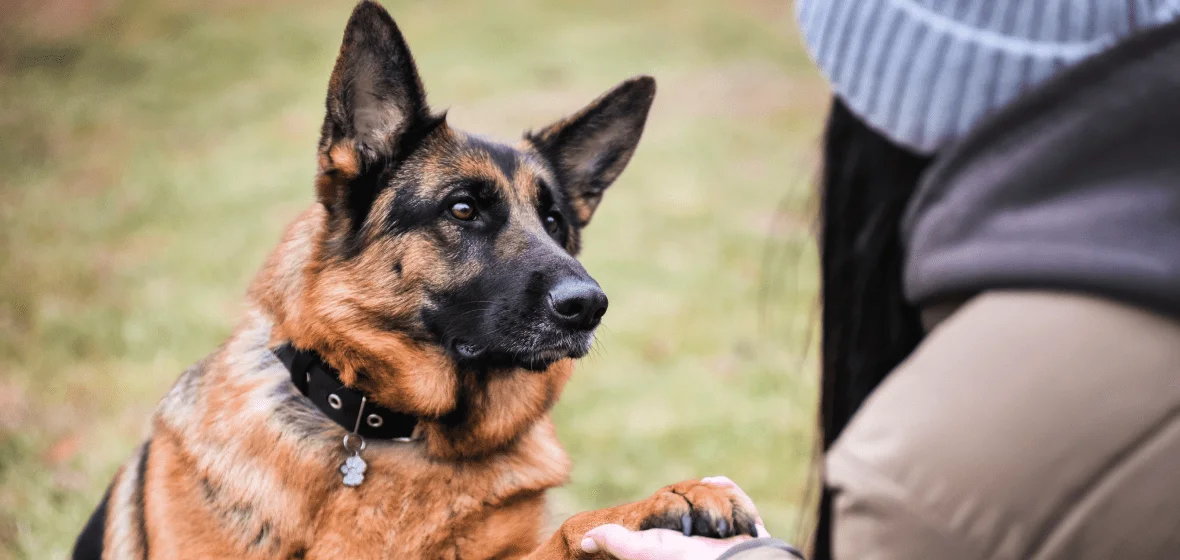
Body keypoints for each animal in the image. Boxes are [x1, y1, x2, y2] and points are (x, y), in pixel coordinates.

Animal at [73, 2, 755, 558]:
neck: (394, 430)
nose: (590, 305)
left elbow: (571, 528)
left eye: (554, 221)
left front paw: (664, 500)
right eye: (463, 209)